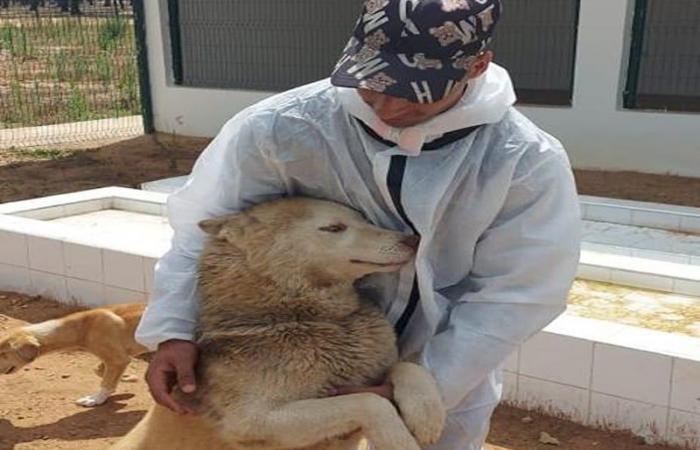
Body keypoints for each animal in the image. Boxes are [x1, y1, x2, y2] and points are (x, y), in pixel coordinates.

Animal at [0, 304, 148, 406]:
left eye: (3, 353)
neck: (82, 327)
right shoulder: (118, 357)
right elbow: (100, 371)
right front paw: (126, 378)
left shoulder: (118, 360)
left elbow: (106, 381)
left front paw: (96, 399)